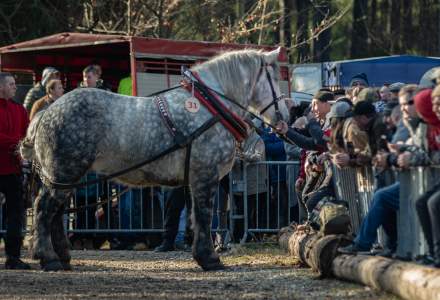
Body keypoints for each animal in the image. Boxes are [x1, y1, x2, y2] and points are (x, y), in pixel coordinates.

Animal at [19, 47, 288, 272]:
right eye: (274, 80)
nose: (285, 116)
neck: (209, 107)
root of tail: (46, 112)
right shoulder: (205, 175)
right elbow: (203, 217)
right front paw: (210, 259)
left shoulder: (193, 180)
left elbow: (196, 219)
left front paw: (204, 256)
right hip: (64, 173)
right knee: (44, 209)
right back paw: (48, 258)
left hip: (66, 177)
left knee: (56, 214)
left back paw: (63, 257)